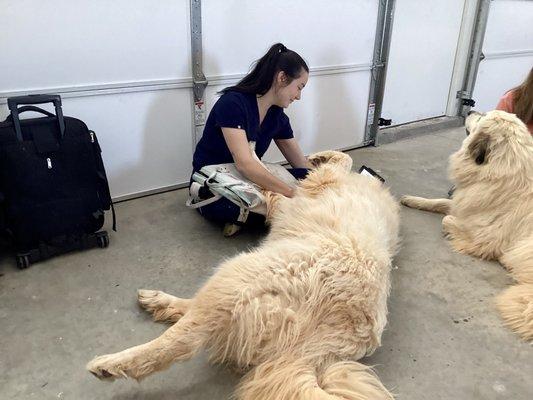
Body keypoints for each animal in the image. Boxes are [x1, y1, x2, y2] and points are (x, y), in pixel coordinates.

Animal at [86, 151, 400, 400]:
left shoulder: (310, 189)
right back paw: (158, 301)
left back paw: (111, 364)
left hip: (239, 274)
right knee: (198, 313)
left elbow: (333, 165)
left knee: (182, 339)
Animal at [404, 111, 532, 342]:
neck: (499, 170)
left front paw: (451, 233)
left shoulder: (485, 235)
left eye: (482, 117)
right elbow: (441, 202)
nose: (470, 110)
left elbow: (447, 220)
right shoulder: (466, 202)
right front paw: (413, 200)